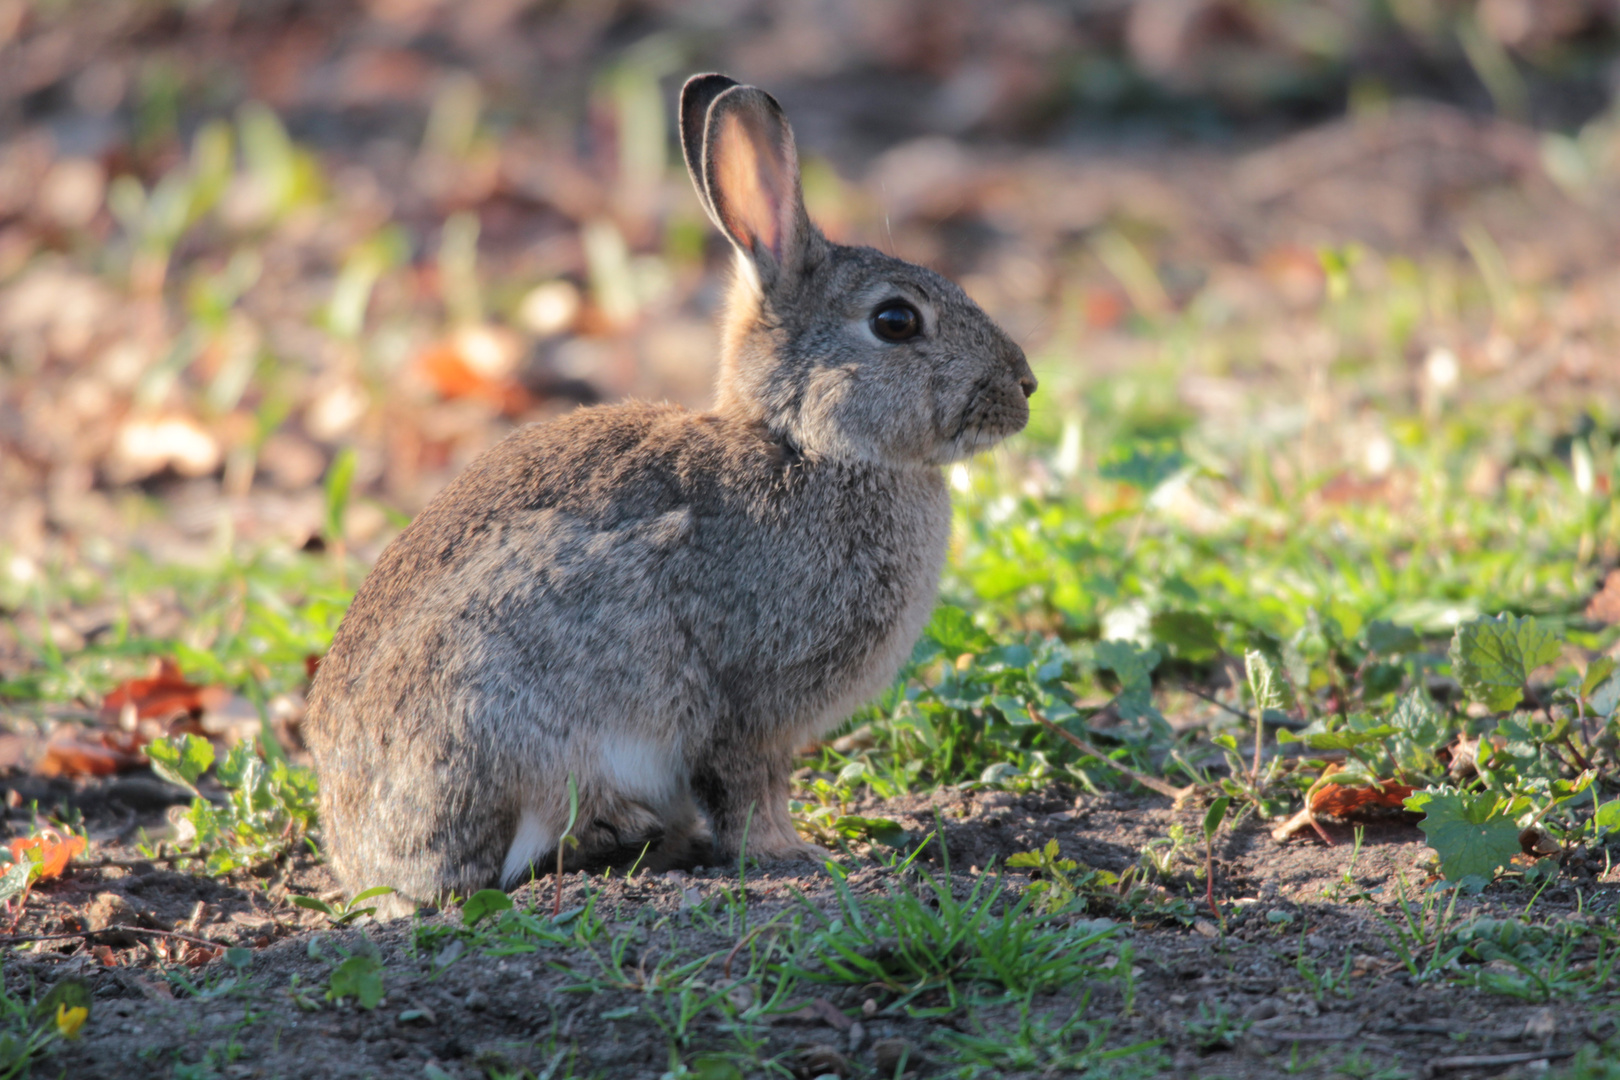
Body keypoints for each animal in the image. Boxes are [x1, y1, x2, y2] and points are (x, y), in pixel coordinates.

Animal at [304, 74, 1036, 919]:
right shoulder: (748, 707)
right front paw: (797, 855)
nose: (1025, 386)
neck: (806, 445)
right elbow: (749, 790)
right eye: (895, 320)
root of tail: (369, 867)